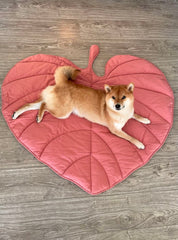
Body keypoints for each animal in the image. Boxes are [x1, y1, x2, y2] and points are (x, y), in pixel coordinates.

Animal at [12, 65, 150, 148]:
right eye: (113, 97)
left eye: (123, 97)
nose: (117, 105)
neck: (122, 114)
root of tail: (64, 82)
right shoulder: (115, 130)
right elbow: (130, 137)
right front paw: (139, 143)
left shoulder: (130, 113)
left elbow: (136, 115)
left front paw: (145, 119)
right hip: (63, 112)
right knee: (44, 105)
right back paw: (39, 116)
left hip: (54, 105)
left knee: (31, 104)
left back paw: (18, 114)